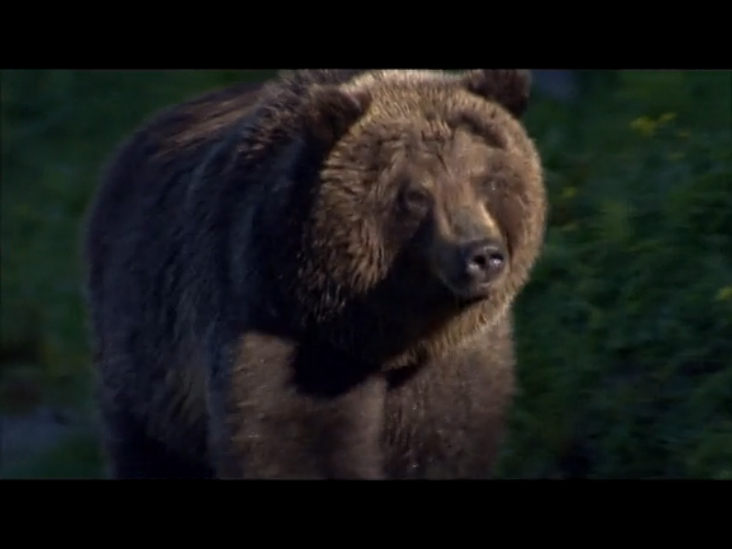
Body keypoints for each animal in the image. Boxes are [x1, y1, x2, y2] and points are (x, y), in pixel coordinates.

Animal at [82, 69, 547, 479]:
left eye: (488, 179)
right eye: (415, 194)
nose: (482, 255)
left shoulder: (453, 360)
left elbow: (445, 443)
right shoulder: (279, 329)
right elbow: (294, 445)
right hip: (145, 347)